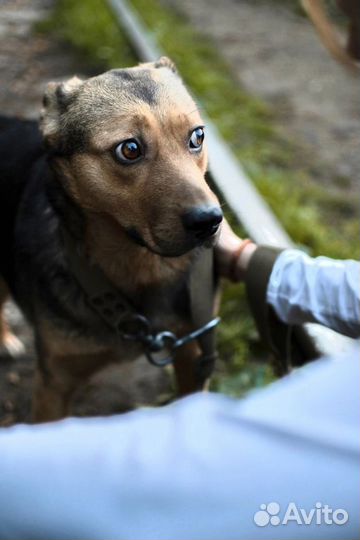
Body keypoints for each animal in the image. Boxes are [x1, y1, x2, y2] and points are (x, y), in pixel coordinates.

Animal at [0, 58, 224, 422]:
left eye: (198, 136)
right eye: (129, 149)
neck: (140, 266)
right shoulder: (54, 383)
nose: (209, 221)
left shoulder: (192, 352)